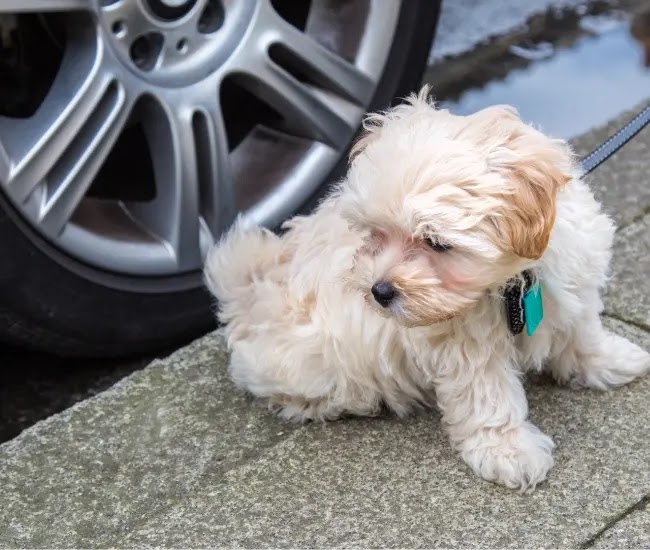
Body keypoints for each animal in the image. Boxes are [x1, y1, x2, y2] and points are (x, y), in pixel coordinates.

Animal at [204, 88, 648, 494]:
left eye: (436, 243)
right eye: (375, 233)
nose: (380, 290)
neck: (509, 283)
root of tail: (249, 289)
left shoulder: (574, 281)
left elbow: (581, 330)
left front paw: (609, 359)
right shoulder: (465, 347)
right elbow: (488, 396)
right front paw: (508, 451)